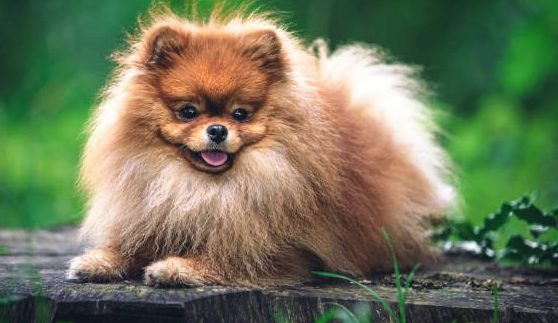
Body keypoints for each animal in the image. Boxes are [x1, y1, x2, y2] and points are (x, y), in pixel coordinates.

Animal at [68, 6, 458, 288]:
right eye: (188, 111)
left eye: (240, 113)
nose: (217, 129)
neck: (201, 189)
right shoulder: (155, 216)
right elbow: (132, 245)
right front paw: (98, 260)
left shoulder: (288, 252)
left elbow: (232, 259)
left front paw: (177, 267)